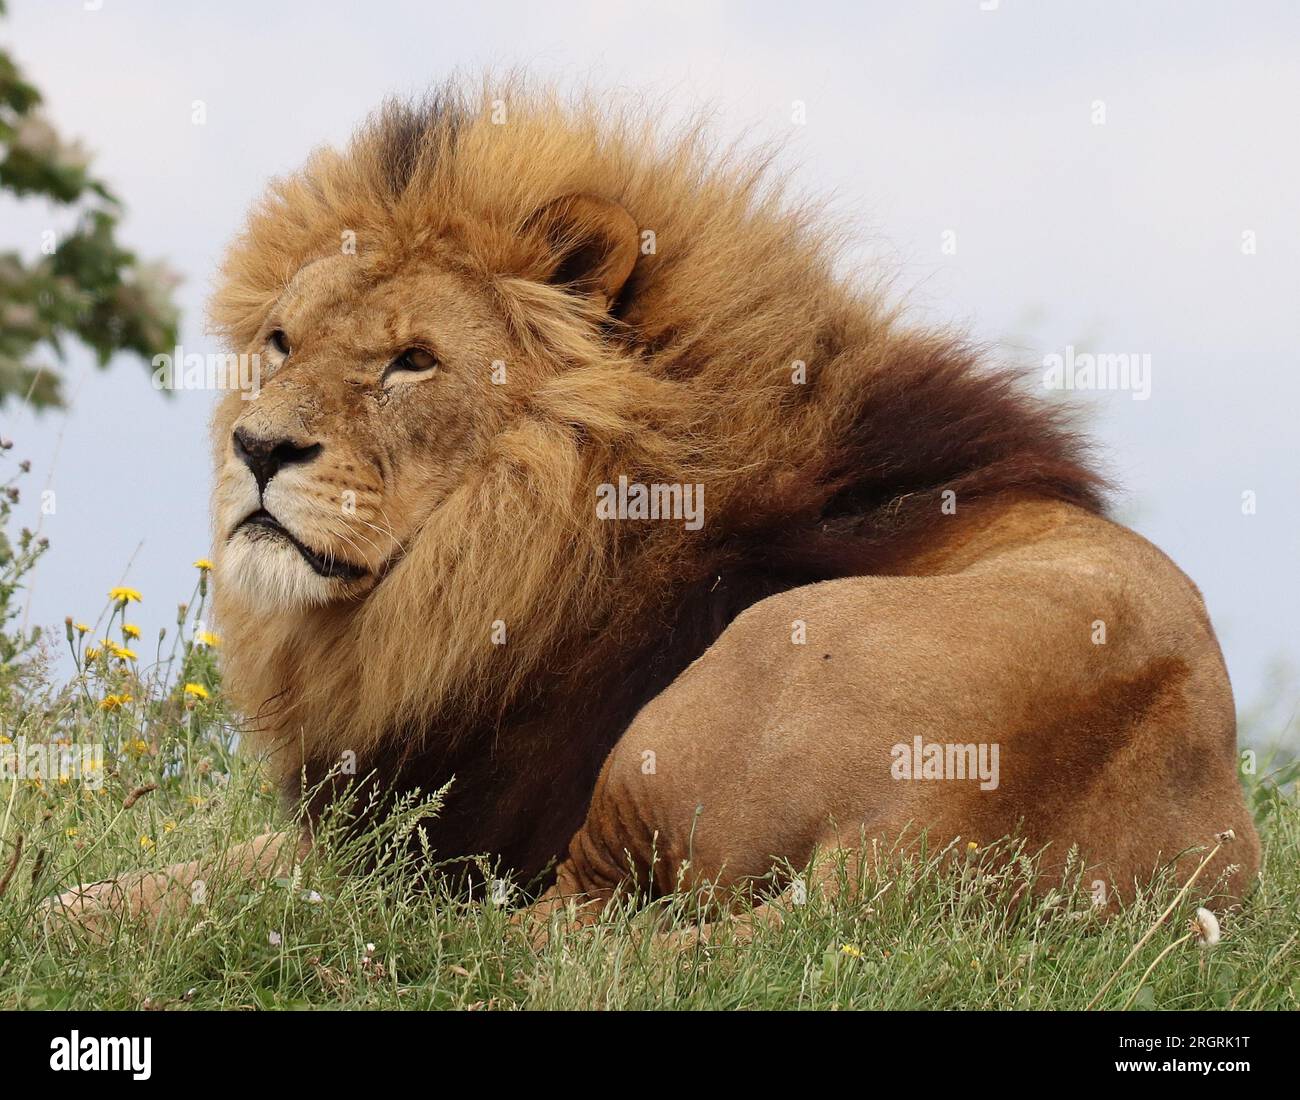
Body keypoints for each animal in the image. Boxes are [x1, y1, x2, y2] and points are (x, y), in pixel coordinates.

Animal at [53, 77, 1258, 941]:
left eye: (412, 361)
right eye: (280, 342)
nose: (257, 448)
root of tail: (926, 856)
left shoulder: (457, 816)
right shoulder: (385, 815)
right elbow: (150, 878)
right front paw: (66, 906)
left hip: (728, 686)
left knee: (529, 934)